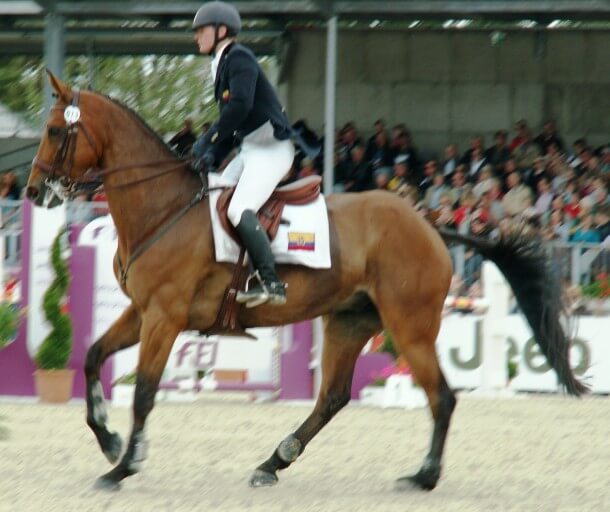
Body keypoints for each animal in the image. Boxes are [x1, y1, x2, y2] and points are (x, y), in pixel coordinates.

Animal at [25, 72, 584, 492]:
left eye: (54, 130)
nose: (32, 192)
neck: (162, 207)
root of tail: (430, 224)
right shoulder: (142, 311)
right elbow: (93, 357)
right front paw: (110, 442)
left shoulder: (164, 316)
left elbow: (143, 391)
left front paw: (123, 466)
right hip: (350, 321)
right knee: (332, 398)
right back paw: (273, 461)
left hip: (410, 326)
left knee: (441, 397)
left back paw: (423, 477)